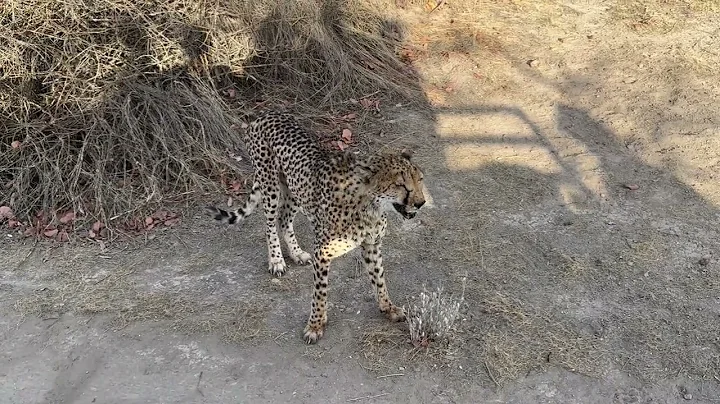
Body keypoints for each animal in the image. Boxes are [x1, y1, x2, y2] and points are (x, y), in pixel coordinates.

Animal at [206, 111, 426, 344]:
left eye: (420, 180)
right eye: (401, 185)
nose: (421, 203)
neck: (370, 205)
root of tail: (266, 114)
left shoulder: (372, 244)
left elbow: (379, 277)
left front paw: (388, 307)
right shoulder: (323, 251)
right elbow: (320, 293)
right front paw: (315, 324)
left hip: (295, 188)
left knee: (284, 219)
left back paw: (296, 253)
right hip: (270, 183)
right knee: (270, 223)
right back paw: (276, 260)